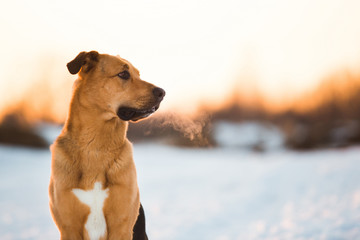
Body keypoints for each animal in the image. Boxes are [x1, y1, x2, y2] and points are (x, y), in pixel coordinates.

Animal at [48, 51, 165, 239]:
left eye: (139, 74)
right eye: (123, 74)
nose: (162, 92)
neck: (95, 148)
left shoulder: (121, 225)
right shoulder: (69, 227)